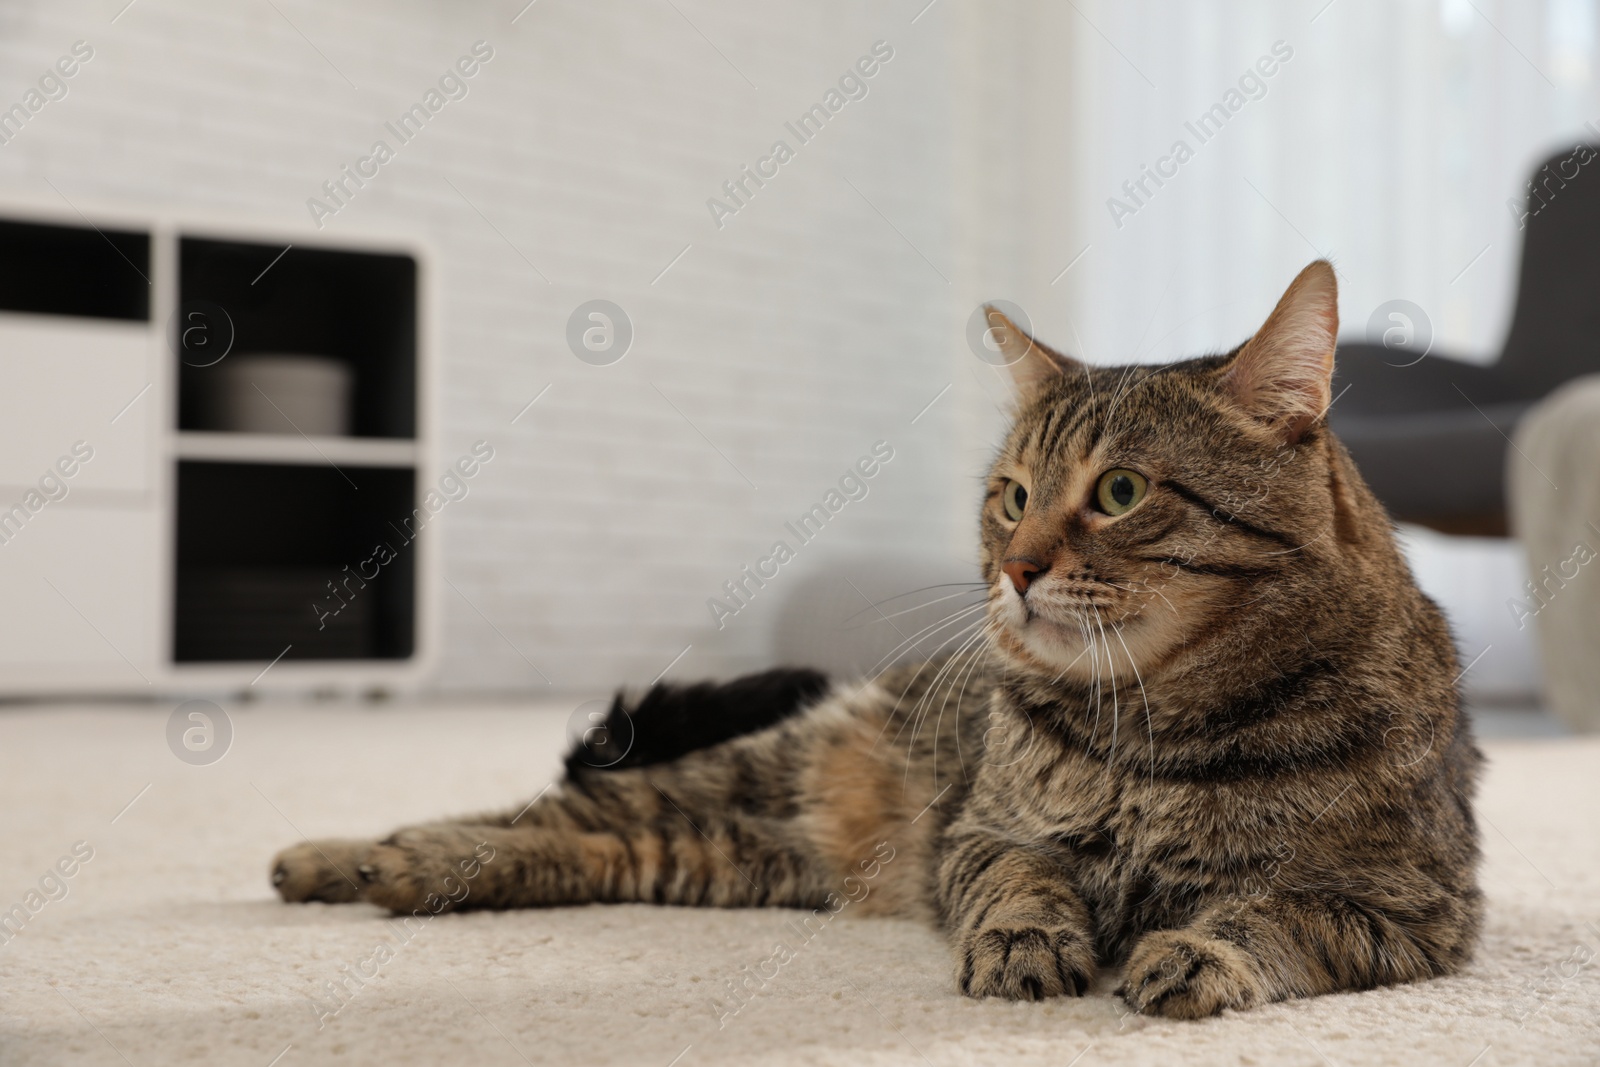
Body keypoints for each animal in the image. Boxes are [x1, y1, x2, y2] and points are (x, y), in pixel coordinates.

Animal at [278, 262, 1484, 1023]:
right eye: (1012, 495)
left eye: (1120, 491)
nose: (1016, 566)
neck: (1158, 728)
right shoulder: (980, 832)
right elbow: (1021, 880)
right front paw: (1030, 941)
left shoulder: (1409, 904)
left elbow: (1275, 911)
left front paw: (1200, 946)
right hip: (748, 772)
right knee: (535, 806)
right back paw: (351, 851)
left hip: (714, 852)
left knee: (576, 841)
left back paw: (388, 866)